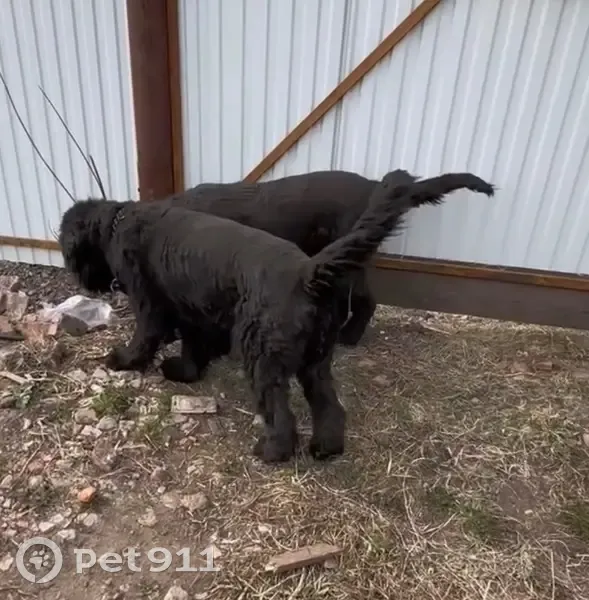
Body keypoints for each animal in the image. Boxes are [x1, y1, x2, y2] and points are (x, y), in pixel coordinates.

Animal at [59, 172, 494, 463]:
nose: (84, 282)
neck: (119, 222)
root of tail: (307, 273)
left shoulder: (150, 302)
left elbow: (146, 335)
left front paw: (123, 361)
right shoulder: (194, 309)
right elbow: (194, 345)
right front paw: (185, 371)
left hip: (264, 356)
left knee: (281, 415)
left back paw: (271, 451)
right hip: (316, 358)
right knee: (329, 405)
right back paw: (325, 447)